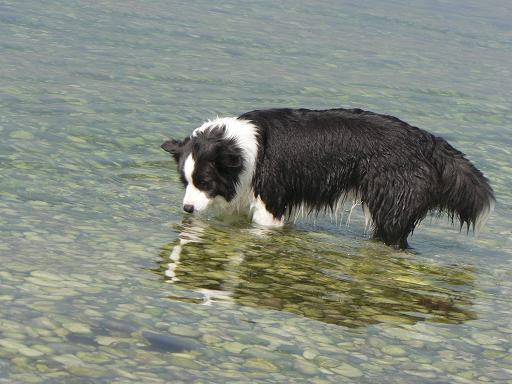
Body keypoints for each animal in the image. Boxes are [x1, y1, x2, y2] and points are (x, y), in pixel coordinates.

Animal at [162, 107, 494, 249]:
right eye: (185, 182)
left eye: (204, 182)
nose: (187, 210)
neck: (238, 147)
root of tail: (426, 141)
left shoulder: (271, 200)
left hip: (392, 204)